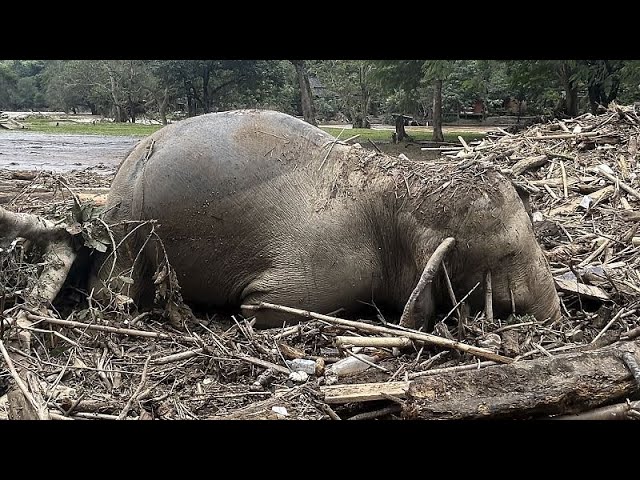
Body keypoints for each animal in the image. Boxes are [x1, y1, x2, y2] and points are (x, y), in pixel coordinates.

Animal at [0, 110, 560, 328]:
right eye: (506, 255)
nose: (556, 316)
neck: (394, 191)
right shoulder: (328, 268)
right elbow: (268, 305)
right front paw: (243, 310)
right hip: (128, 226)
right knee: (115, 283)